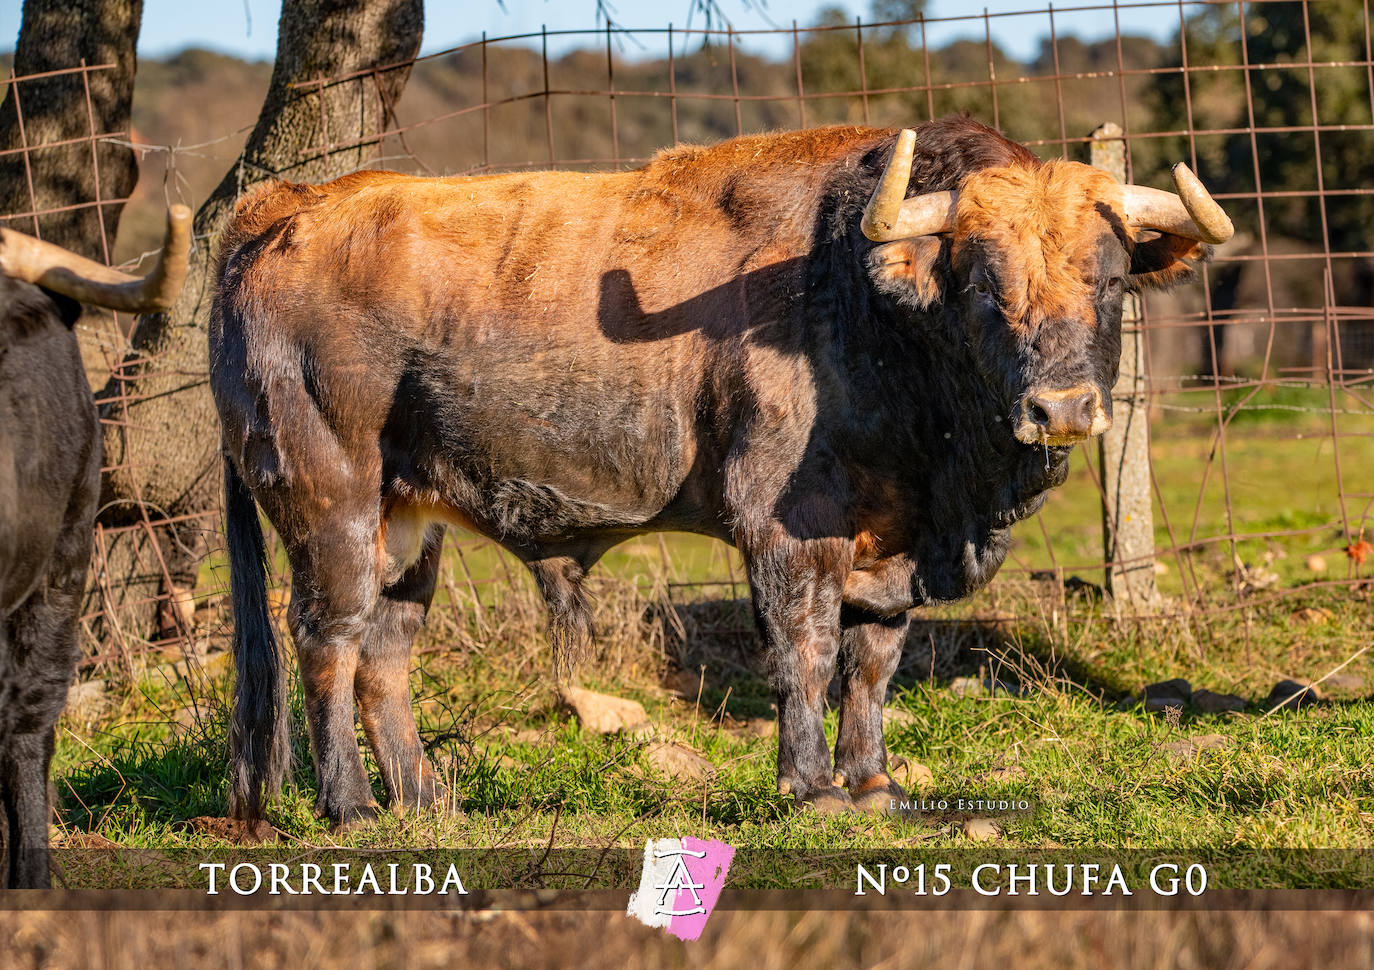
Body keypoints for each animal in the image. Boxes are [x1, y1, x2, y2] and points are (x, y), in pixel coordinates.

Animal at [208, 116, 1231, 818]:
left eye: (1108, 281)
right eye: (982, 283)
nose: (1063, 409)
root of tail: (288, 206)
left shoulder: (889, 543)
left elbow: (873, 663)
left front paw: (872, 782)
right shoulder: (787, 528)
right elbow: (806, 654)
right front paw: (812, 786)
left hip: (408, 523)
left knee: (385, 655)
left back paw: (424, 800)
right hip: (332, 505)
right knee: (328, 643)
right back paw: (350, 806)